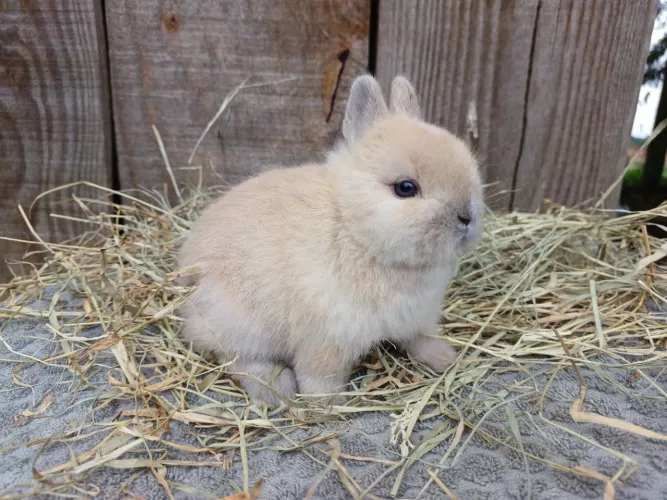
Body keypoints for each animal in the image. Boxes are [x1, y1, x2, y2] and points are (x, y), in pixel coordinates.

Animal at [177, 74, 484, 406]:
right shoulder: (326, 341)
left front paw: (445, 358)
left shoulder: (418, 319)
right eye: (405, 188)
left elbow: (421, 340)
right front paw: (328, 404)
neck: (354, 232)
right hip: (240, 325)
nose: (466, 217)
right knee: (237, 358)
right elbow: (319, 376)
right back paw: (276, 390)